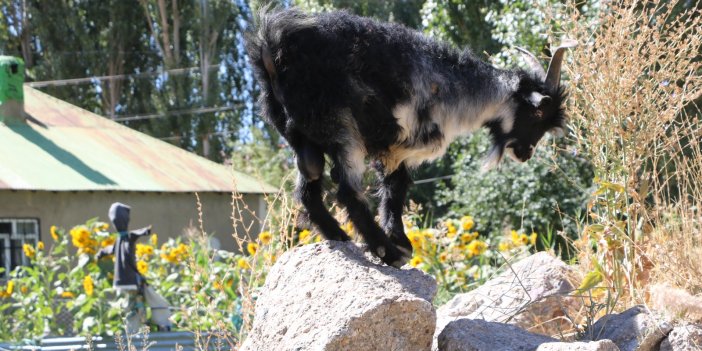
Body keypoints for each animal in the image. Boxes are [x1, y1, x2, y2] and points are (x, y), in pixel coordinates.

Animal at [248, 8, 576, 268]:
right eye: (537, 114)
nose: (526, 153)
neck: (457, 87)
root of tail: (273, 49)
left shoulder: (393, 151)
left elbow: (395, 189)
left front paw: (401, 240)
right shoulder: (402, 144)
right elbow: (395, 189)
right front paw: (400, 245)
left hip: (302, 138)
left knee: (308, 187)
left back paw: (340, 237)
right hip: (342, 128)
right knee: (347, 191)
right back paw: (384, 251)